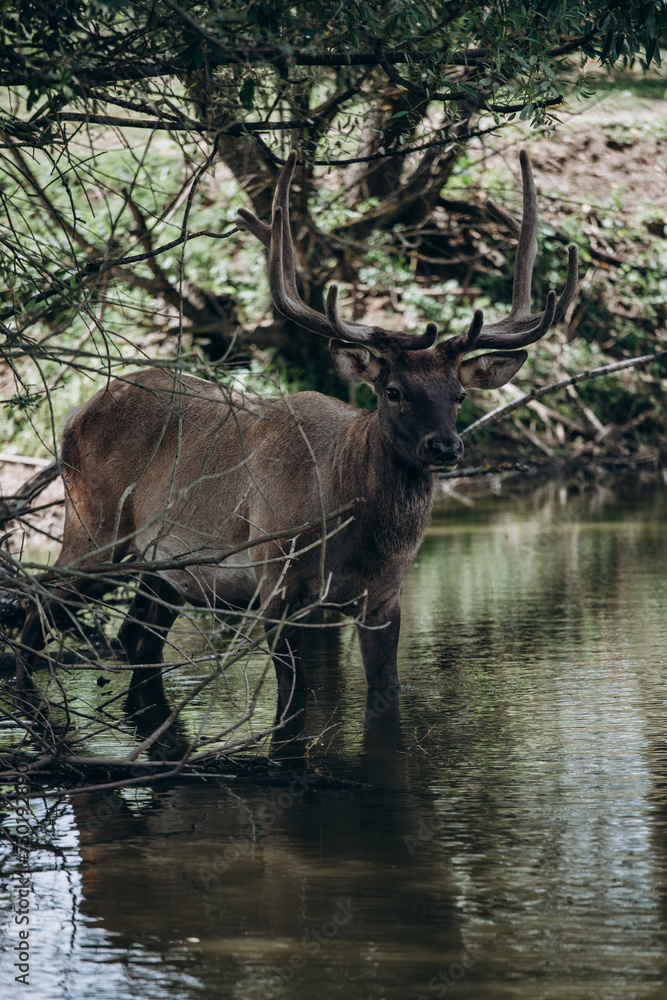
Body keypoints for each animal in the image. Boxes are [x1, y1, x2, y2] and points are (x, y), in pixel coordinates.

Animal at [15, 150, 576, 701]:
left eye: (459, 395)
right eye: (393, 392)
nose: (445, 447)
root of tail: (77, 412)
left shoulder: (384, 598)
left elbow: (386, 693)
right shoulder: (275, 580)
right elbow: (292, 701)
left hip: (165, 571)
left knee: (135, 638)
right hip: (92, 528)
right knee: (36, 612)